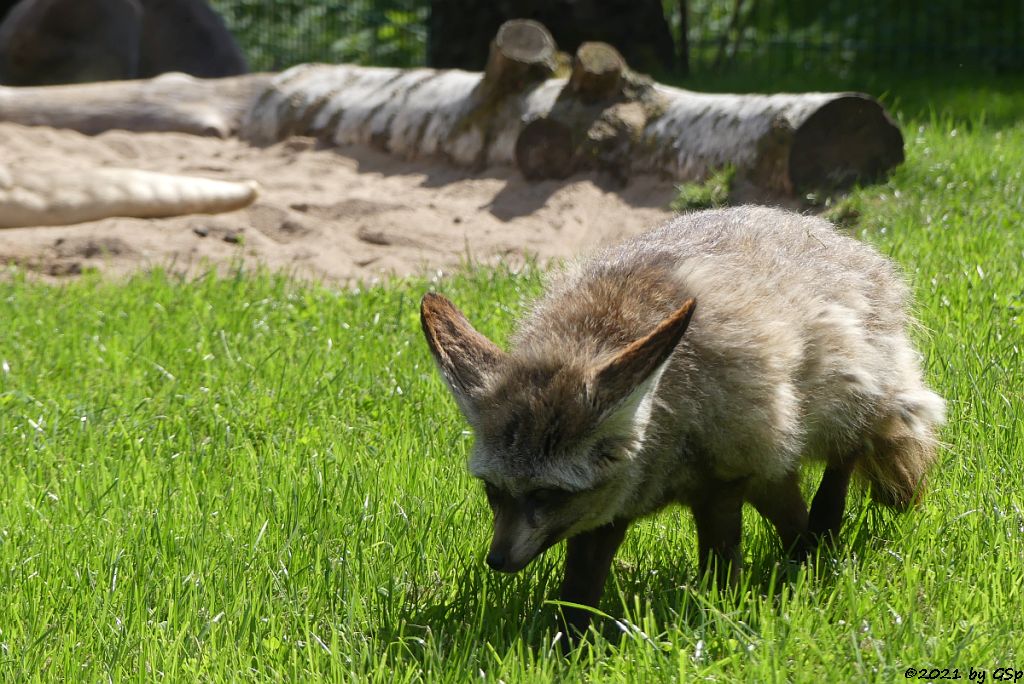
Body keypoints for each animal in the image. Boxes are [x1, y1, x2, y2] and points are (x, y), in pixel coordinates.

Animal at [417, 205, 942, 638]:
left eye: (545, 494)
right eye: (494, 491)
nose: (497, 561)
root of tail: (826, 231)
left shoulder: (724, 481)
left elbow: (720, 573)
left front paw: (721, 621)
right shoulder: (607, 510)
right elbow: (578, 593)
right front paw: (566, 648)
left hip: (824, 419)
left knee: (838, 470)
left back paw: (821, 539)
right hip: (773, 464)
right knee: (794, 517)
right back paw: (805, 558)